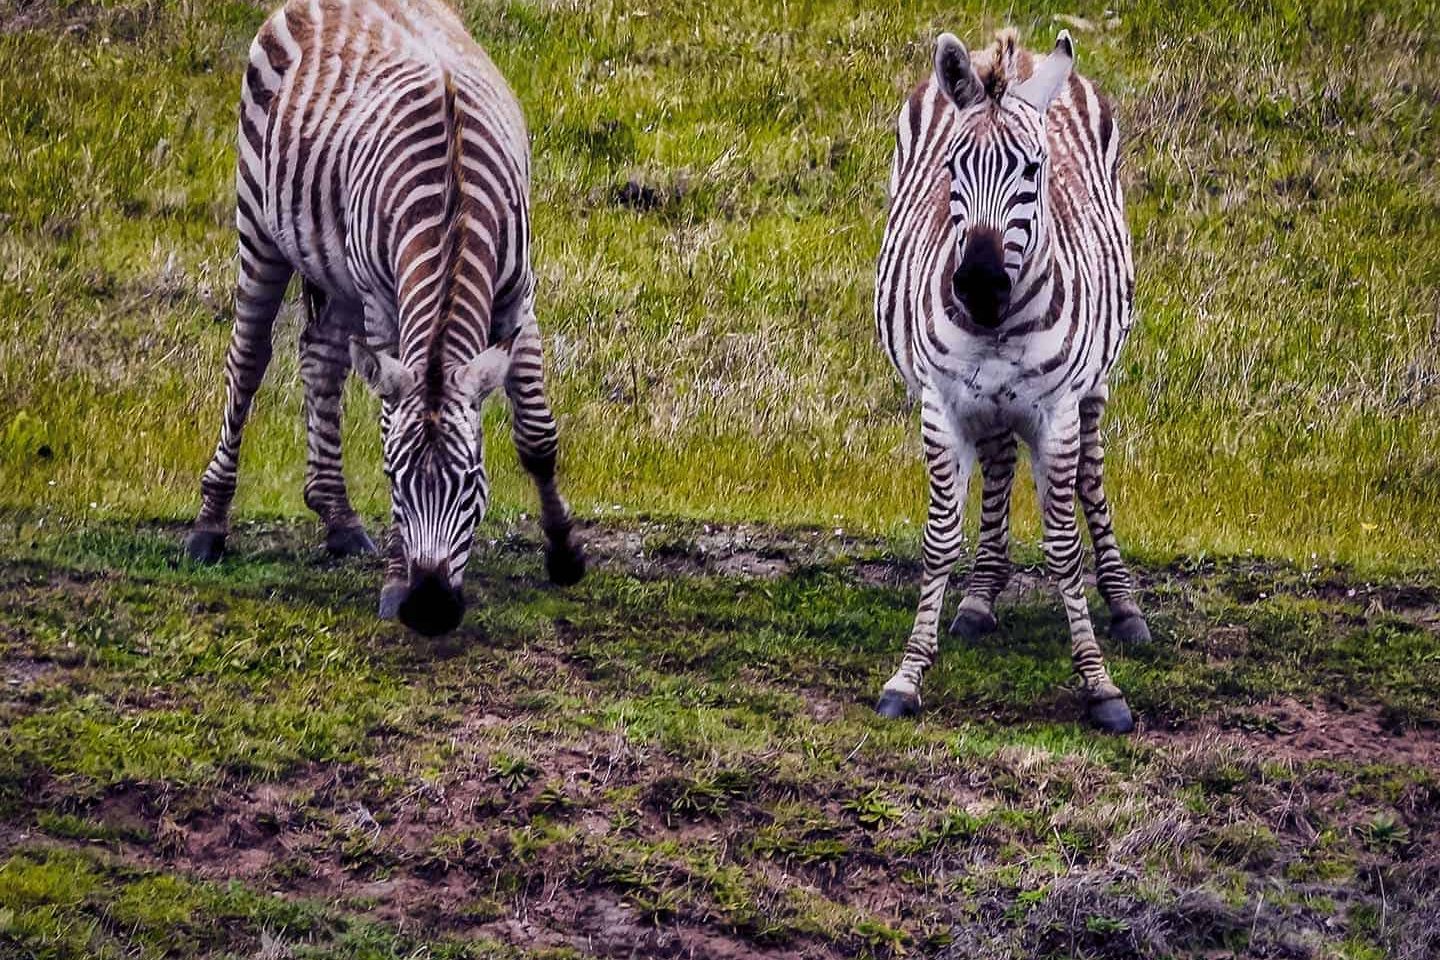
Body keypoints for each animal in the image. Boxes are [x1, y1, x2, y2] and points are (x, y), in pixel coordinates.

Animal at [185, 1, 584, 639]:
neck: (453, 207)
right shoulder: (382, 297)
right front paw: (395, 582)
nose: (429, 609)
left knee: (321, 355)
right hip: (260, 225)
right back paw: (209, 526)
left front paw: (565, 552)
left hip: (337, 264)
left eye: (471, 483)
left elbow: (537, 437)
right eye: (396, 482)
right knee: (247, 361)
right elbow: (386, 419)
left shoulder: (517, 294)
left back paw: (339, 518)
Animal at [869, 28, 1152, 736]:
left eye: (1032, 169)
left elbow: (1063, 547)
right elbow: (940, 540)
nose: (977, 285)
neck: (998, 327)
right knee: (998, 462)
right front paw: (908, 676)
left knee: (1092, 479)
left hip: (1093, 387)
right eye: (953, 166)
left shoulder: (1057, 411)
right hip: (987, 402)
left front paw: (1100, 686)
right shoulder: (941, 406)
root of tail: (1016, 58)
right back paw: (979, 596)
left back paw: (1125, 605)